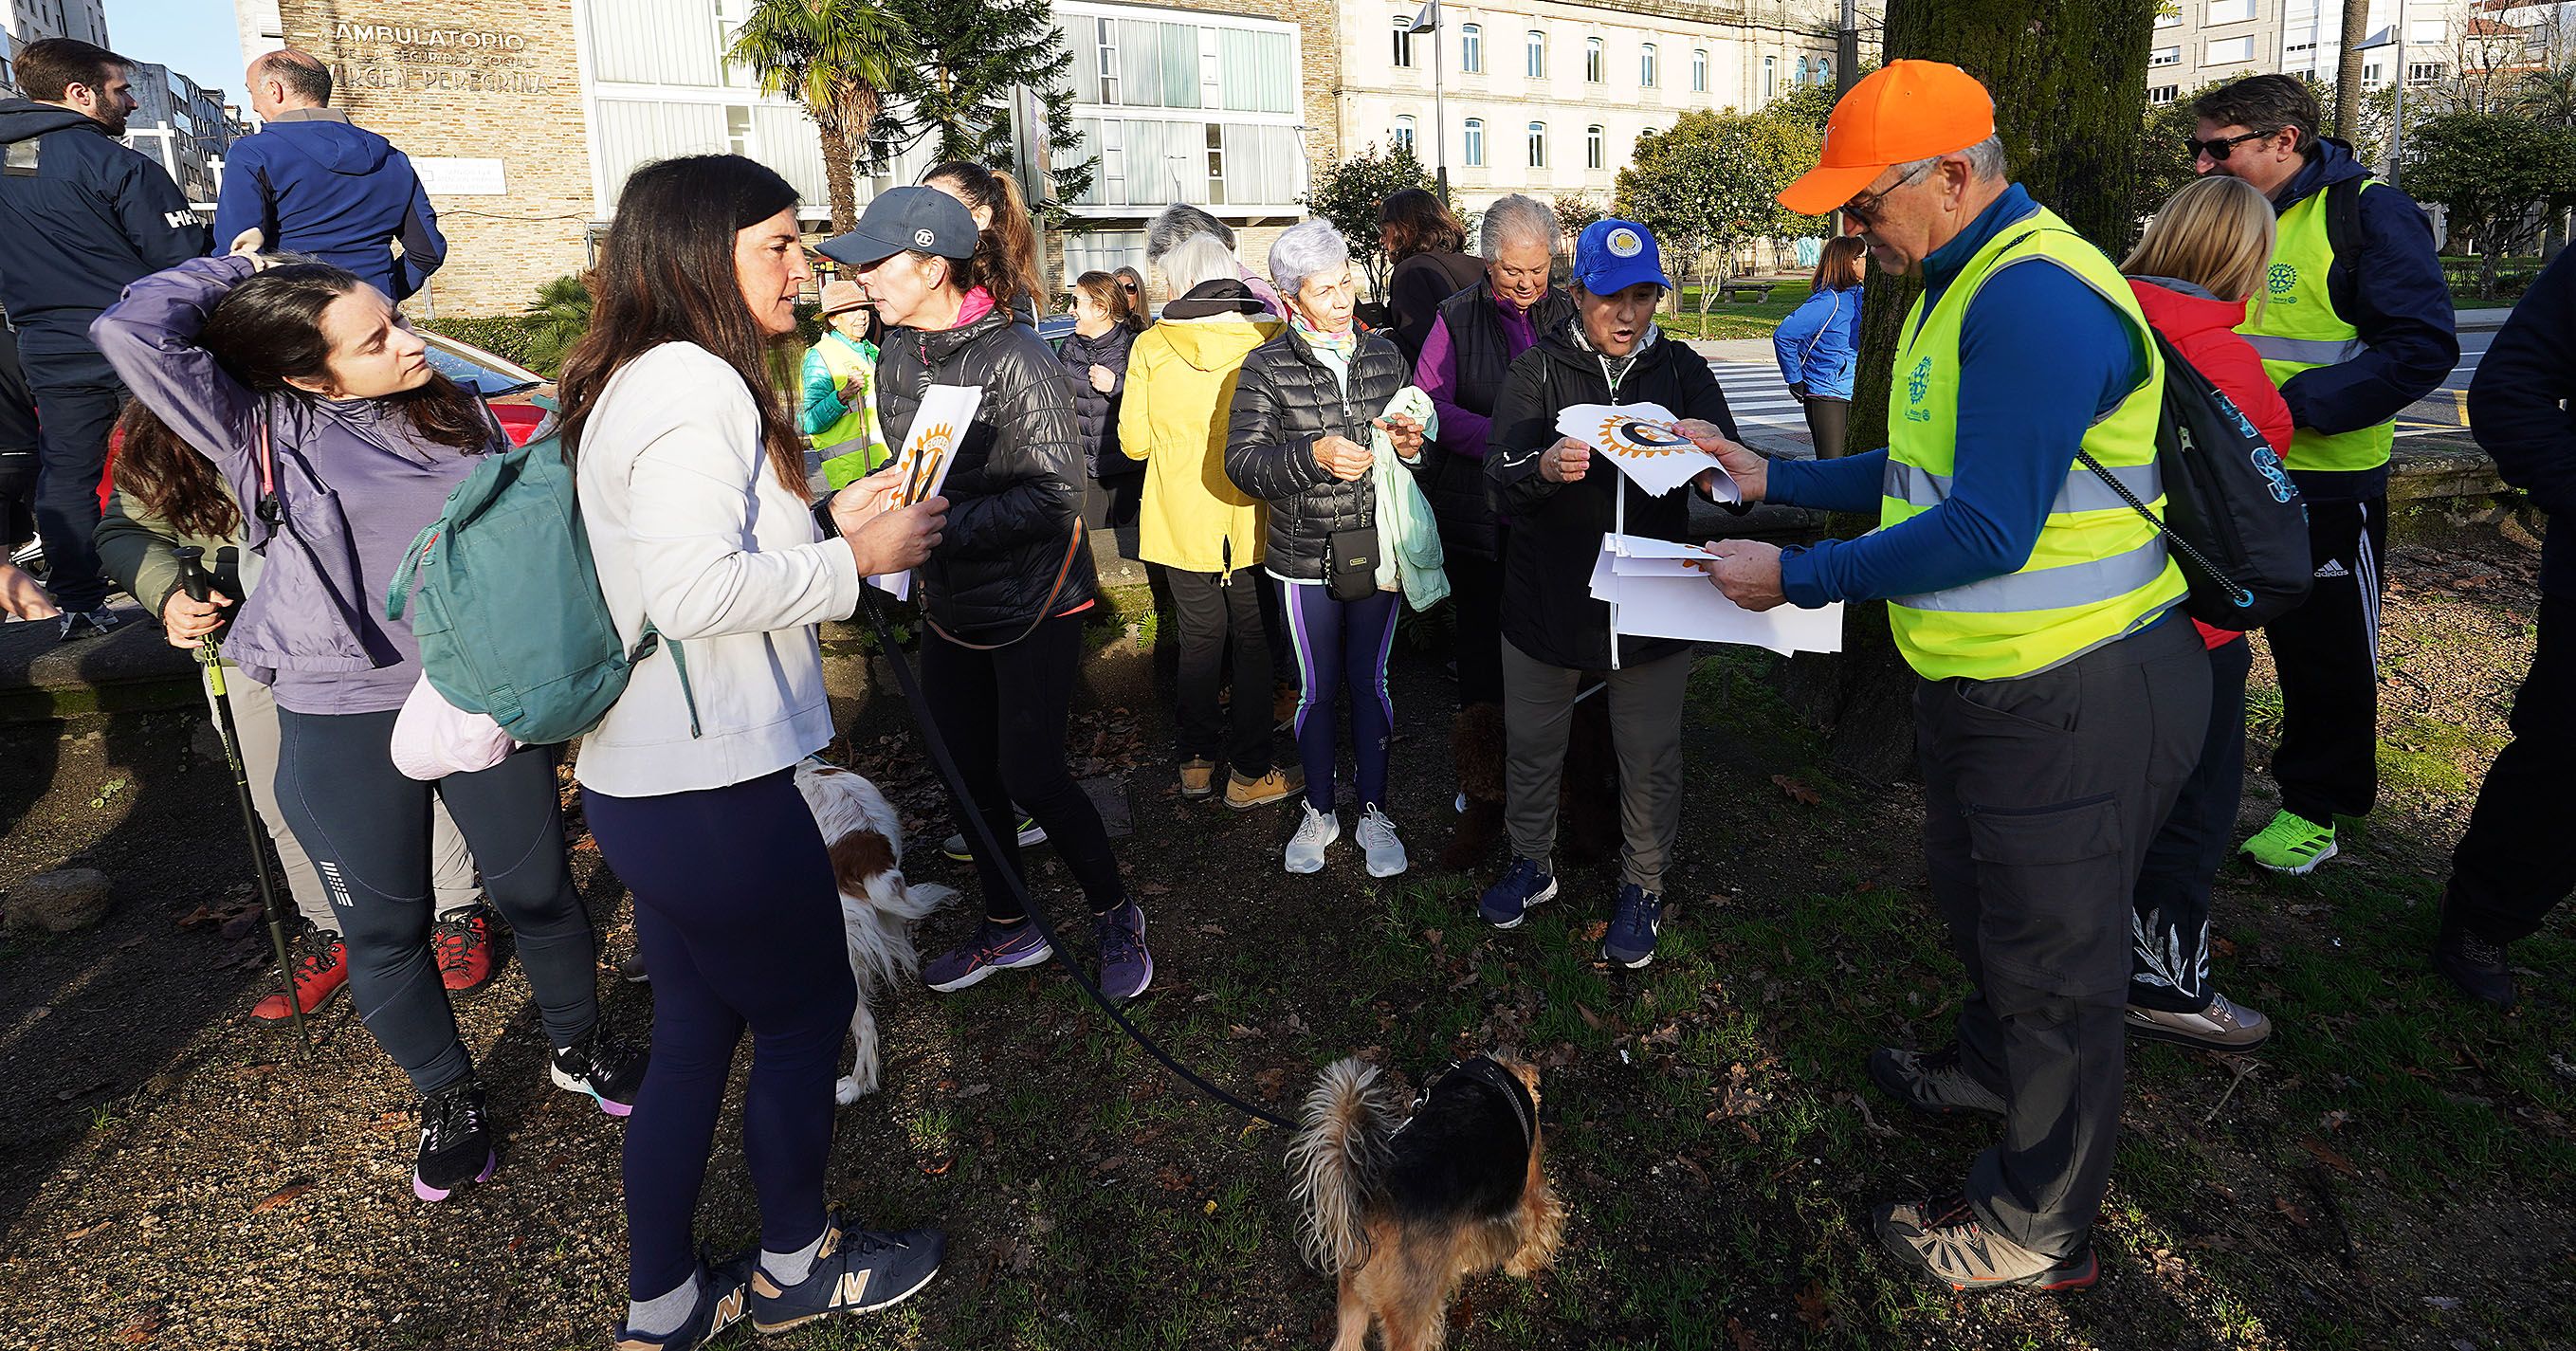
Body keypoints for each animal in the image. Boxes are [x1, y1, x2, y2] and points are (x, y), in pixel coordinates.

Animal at [1288, 1056, 1565, 1351]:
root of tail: (1373, 1199)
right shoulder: (1532, 1192)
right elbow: (1539, 1224)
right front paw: (1522, 1266)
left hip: (1353, 1298)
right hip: (1410, 1315)